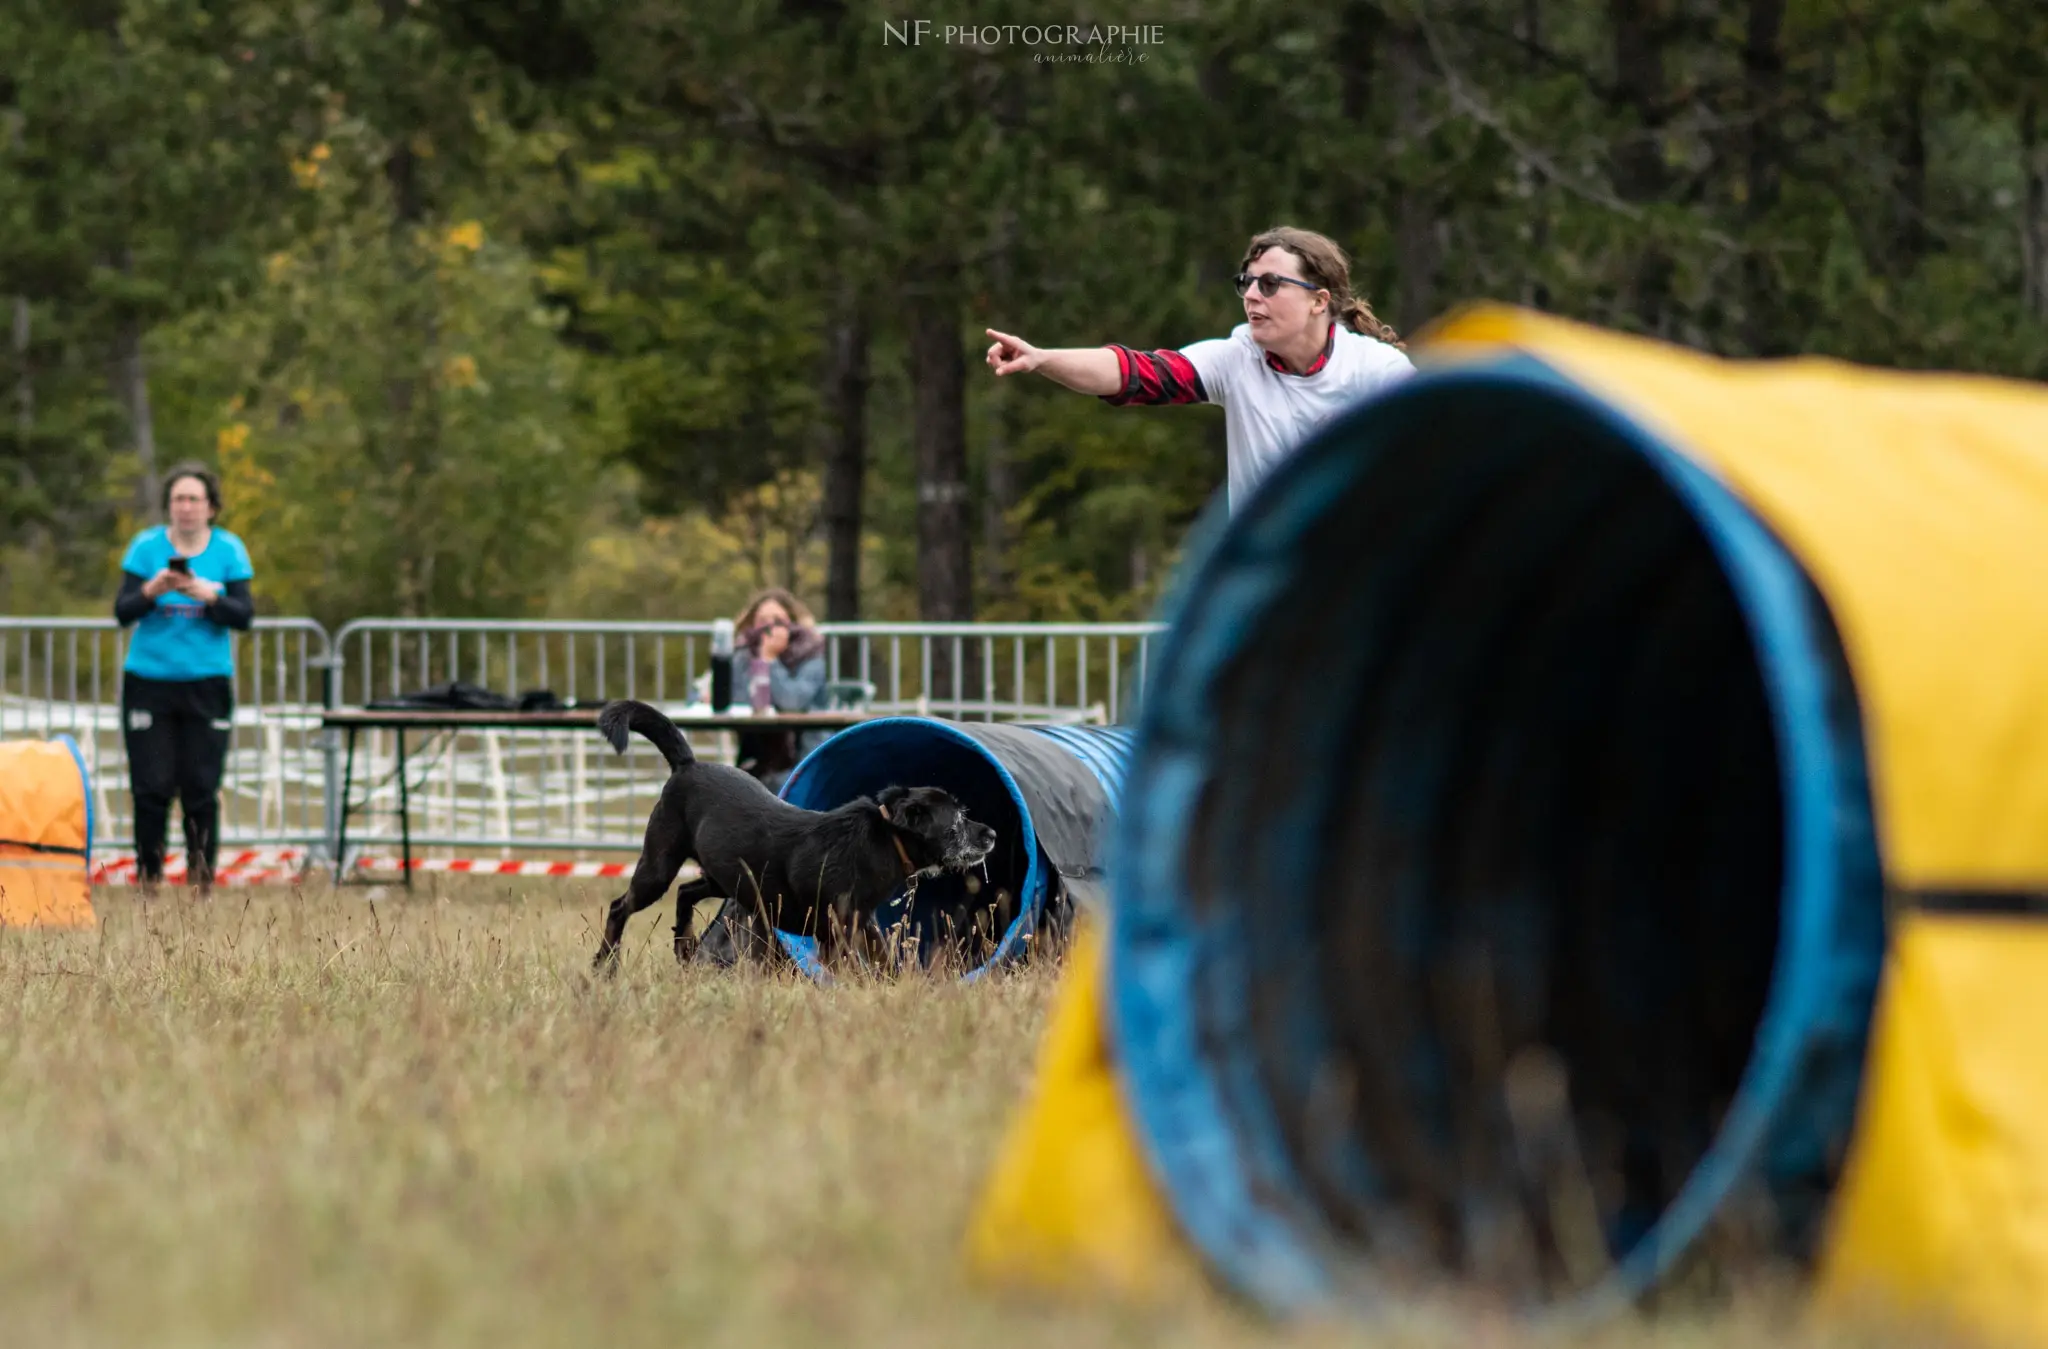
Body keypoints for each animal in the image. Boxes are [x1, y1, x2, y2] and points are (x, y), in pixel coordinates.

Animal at [589, 708, 995, 970]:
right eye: (958, 819)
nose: (992, 833)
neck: (881, 841)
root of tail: (688, 765)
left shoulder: (860, 925)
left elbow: (881, 960)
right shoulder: (837, 930)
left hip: (726, 879)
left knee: (686, 892)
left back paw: (683, 946)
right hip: (659, 865)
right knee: (620, 907)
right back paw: (604, 965)